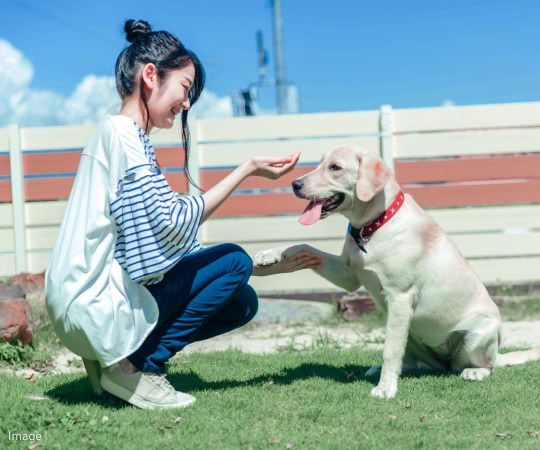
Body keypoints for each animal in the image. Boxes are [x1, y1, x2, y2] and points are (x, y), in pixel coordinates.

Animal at [255, 144, 540, 398]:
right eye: (319, 163)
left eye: (335, 167)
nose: (295, 184)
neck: (372, 226)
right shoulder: (348, 274)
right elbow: (304, 245)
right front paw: (271, 254)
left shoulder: (400, 298)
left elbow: (390, 350)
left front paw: (385, 389)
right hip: (411, 332)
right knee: (413, 361)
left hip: (475, 335)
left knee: (484, 365)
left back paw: (474, 371)